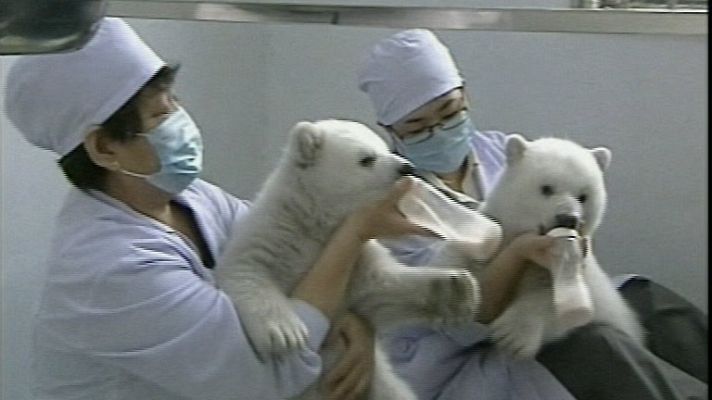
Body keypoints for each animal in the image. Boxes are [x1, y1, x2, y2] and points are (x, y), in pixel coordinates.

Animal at [216, 119, 480, 400]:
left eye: (384, 147)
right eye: (367, 159)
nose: (406, 167)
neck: (317, 220)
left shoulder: (358, 256)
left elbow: (380, 290)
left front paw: (457, 289)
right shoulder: (276, 231)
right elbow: (247, 268)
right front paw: (285, 333)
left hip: (378, 383)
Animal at [477, 133, 643, 358]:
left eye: (583, 196)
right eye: (546, 188)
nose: (568, 218)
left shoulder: (582, 271)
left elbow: (566, 301)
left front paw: (513, 335)